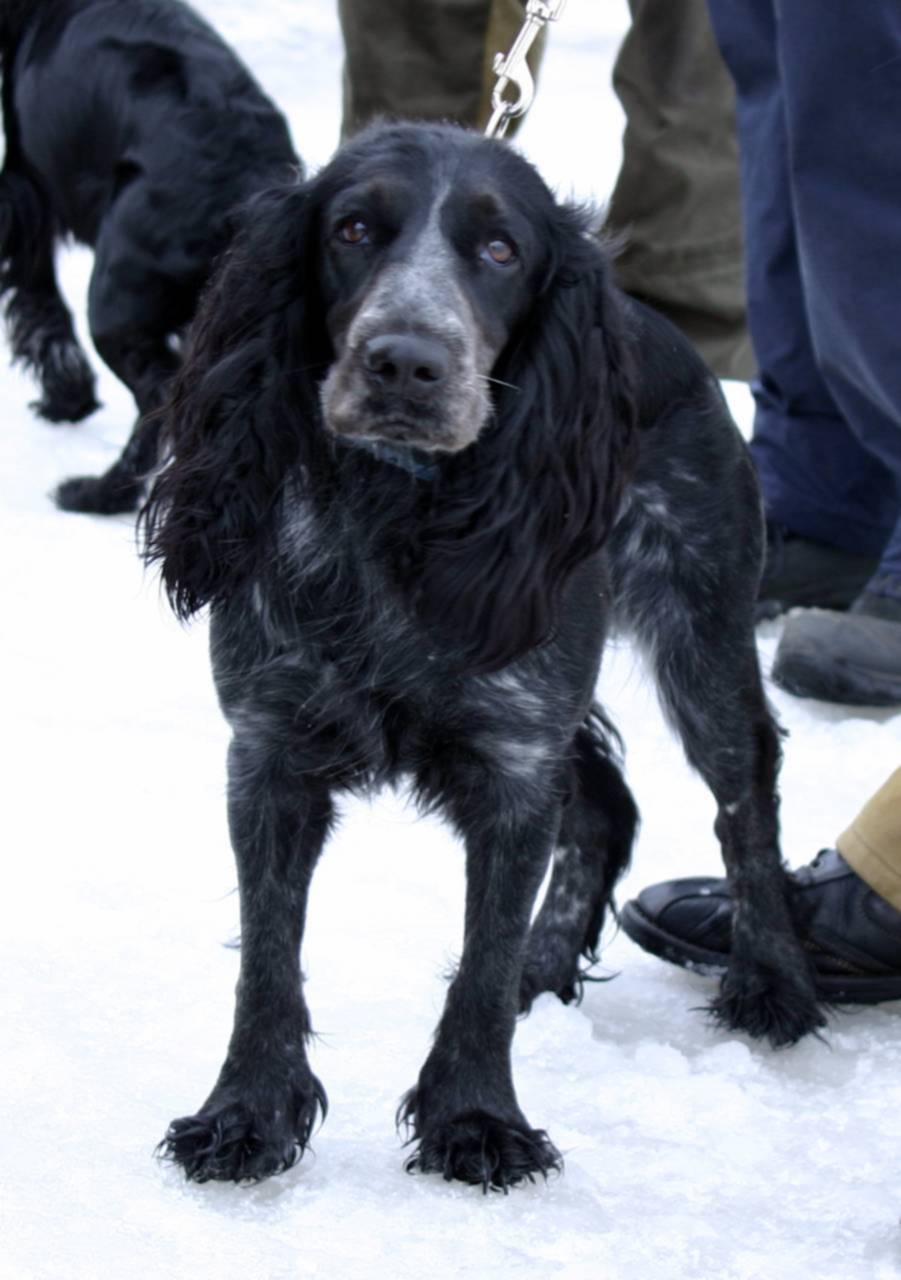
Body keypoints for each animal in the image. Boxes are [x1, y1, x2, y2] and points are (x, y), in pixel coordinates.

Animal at [0, 5, 296, 514]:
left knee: (159, 399)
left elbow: (39, 302)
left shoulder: (24, 184)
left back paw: (99, 493)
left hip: (115, 304)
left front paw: (66, 399)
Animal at [142, 120, 824, 1187]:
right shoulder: (271, 750)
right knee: (605, 803)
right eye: (352, 229)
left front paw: (476, 1121)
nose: (405, 362)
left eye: (501, 250)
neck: (389, 511)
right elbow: (267, 954)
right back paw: (552, 968)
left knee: (742, 794)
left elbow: (482, 955)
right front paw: (243, 1115)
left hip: (698, 624)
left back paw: (771, 980)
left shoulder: (512, 755)